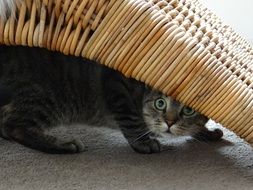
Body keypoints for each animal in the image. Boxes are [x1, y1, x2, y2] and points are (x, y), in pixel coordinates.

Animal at [0, 45, 222, 154]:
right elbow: (132, 120)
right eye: (160, 103)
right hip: (47, 98)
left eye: (188, 110)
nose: (169, 122)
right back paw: (63, 145)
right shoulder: (117, 85)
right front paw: (144, 142)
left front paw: (206, 132)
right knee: (15, 127)